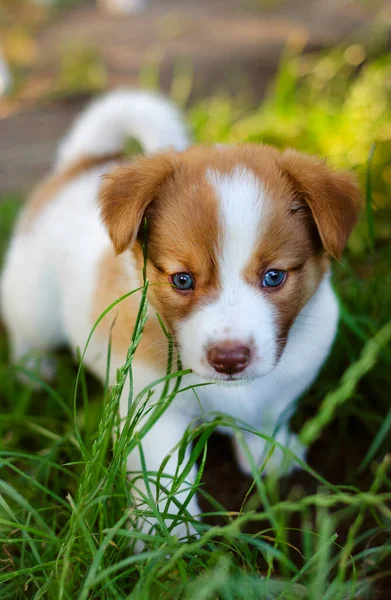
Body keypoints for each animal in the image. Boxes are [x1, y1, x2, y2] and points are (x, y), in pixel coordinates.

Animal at [0, 90, 362, 540]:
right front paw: (169, 535)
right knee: (26, 336)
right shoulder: (151, 410)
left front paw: (270, 457)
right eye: (183, 280)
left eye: (274, 276)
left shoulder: (286, 384)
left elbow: (267, 419)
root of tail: (81, 164)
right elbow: (166, 475)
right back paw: (34, 372)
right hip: (33, 304)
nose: (229, 358)